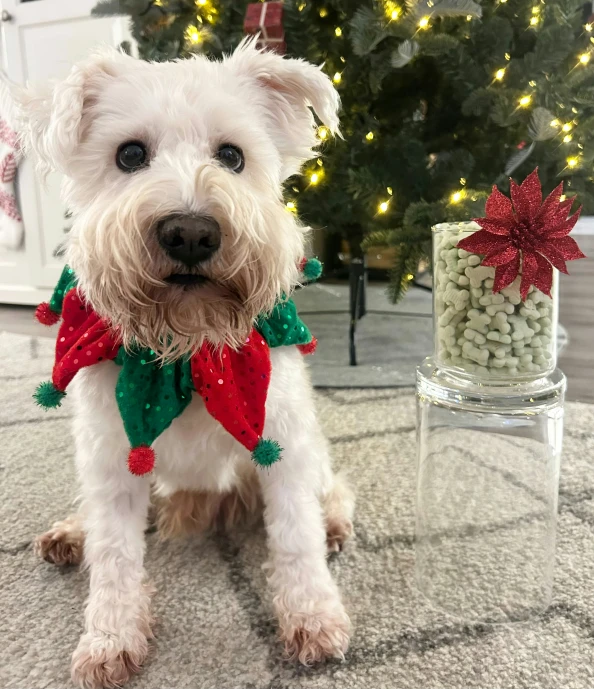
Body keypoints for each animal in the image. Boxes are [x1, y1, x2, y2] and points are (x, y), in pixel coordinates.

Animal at [17, 43, 352, 688]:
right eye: (129, 155)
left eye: (232, 155)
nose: (191, 233)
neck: (187, 348)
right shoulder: (112, 455)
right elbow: (115, 556)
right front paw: (109, 639)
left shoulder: (282, 441)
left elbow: (295, 539)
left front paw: (313, 617)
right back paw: (74, 532)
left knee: (332, 491)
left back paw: (334, 524)